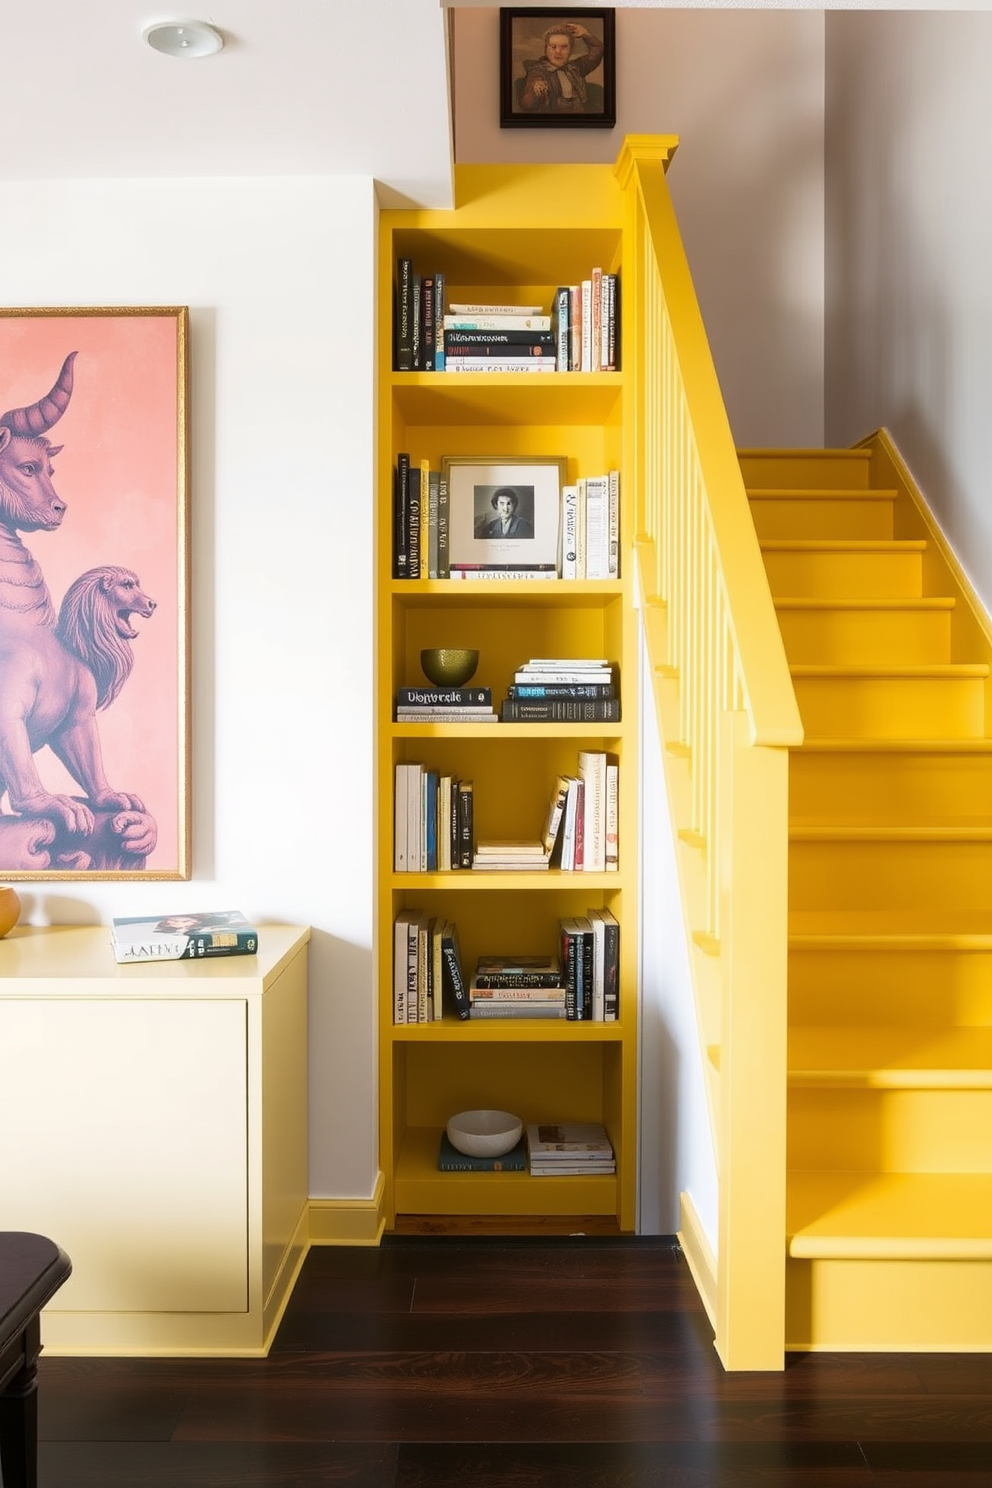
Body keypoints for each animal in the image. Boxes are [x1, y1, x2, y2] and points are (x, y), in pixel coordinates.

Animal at [0, 354, 156, 868]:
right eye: (27, 467)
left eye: (51, 468)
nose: (60, 508)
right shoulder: (8, 709)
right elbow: (23, 771)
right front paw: (54, 805)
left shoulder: (78, 716)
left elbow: (87, 755)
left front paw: (113, 801)